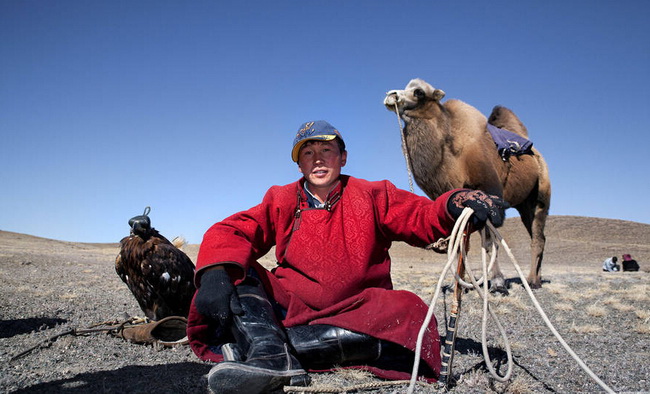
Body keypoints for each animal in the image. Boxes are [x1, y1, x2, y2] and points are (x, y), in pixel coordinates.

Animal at [382, 79, 548, 290]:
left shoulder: (489, 195)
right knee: (539, 236)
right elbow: (461, 242)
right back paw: (537, 279)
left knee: (537, 237)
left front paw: (497, 281)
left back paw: (532, 281)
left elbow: (489, 241)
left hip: (540, 196)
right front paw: (458, 285)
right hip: (524, 203)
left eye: (418, 92)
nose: (391, 95)